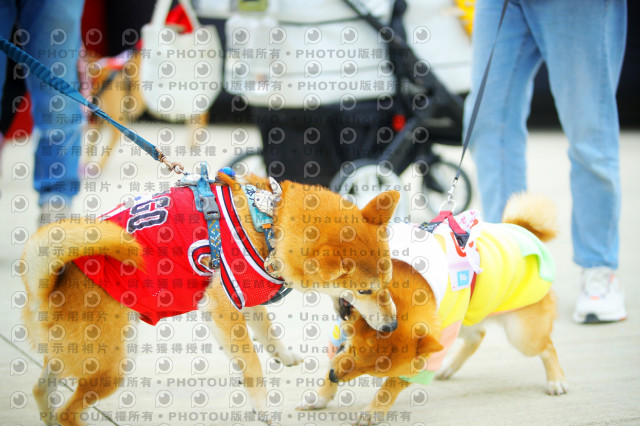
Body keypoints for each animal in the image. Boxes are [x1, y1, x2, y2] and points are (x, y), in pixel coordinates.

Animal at [21, 170, 401, 425]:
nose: (392, 325)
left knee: (41, 390)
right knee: (68, 412)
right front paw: (264, 408)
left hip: (76, 357)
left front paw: (284, 355)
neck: (268, 222)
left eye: (388, 281)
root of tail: (49, 288)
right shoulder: (222, 303)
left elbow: (266, 331)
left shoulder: (246, 294)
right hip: (109, 367)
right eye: (365, 290)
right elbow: (252, 365)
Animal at [300, 193, 568, 424]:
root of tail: (524, 229)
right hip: (463, 319)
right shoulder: (341, 333)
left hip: (519, 335)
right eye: (353, 350)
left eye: (371, 374)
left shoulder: (424, 357)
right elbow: (332, 360)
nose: (335, 375)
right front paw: (322, 395)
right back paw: (449, 368)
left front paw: (374, 411)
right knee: (478, 336)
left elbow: (390, 388)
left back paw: (556, 380)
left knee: (547, 347)